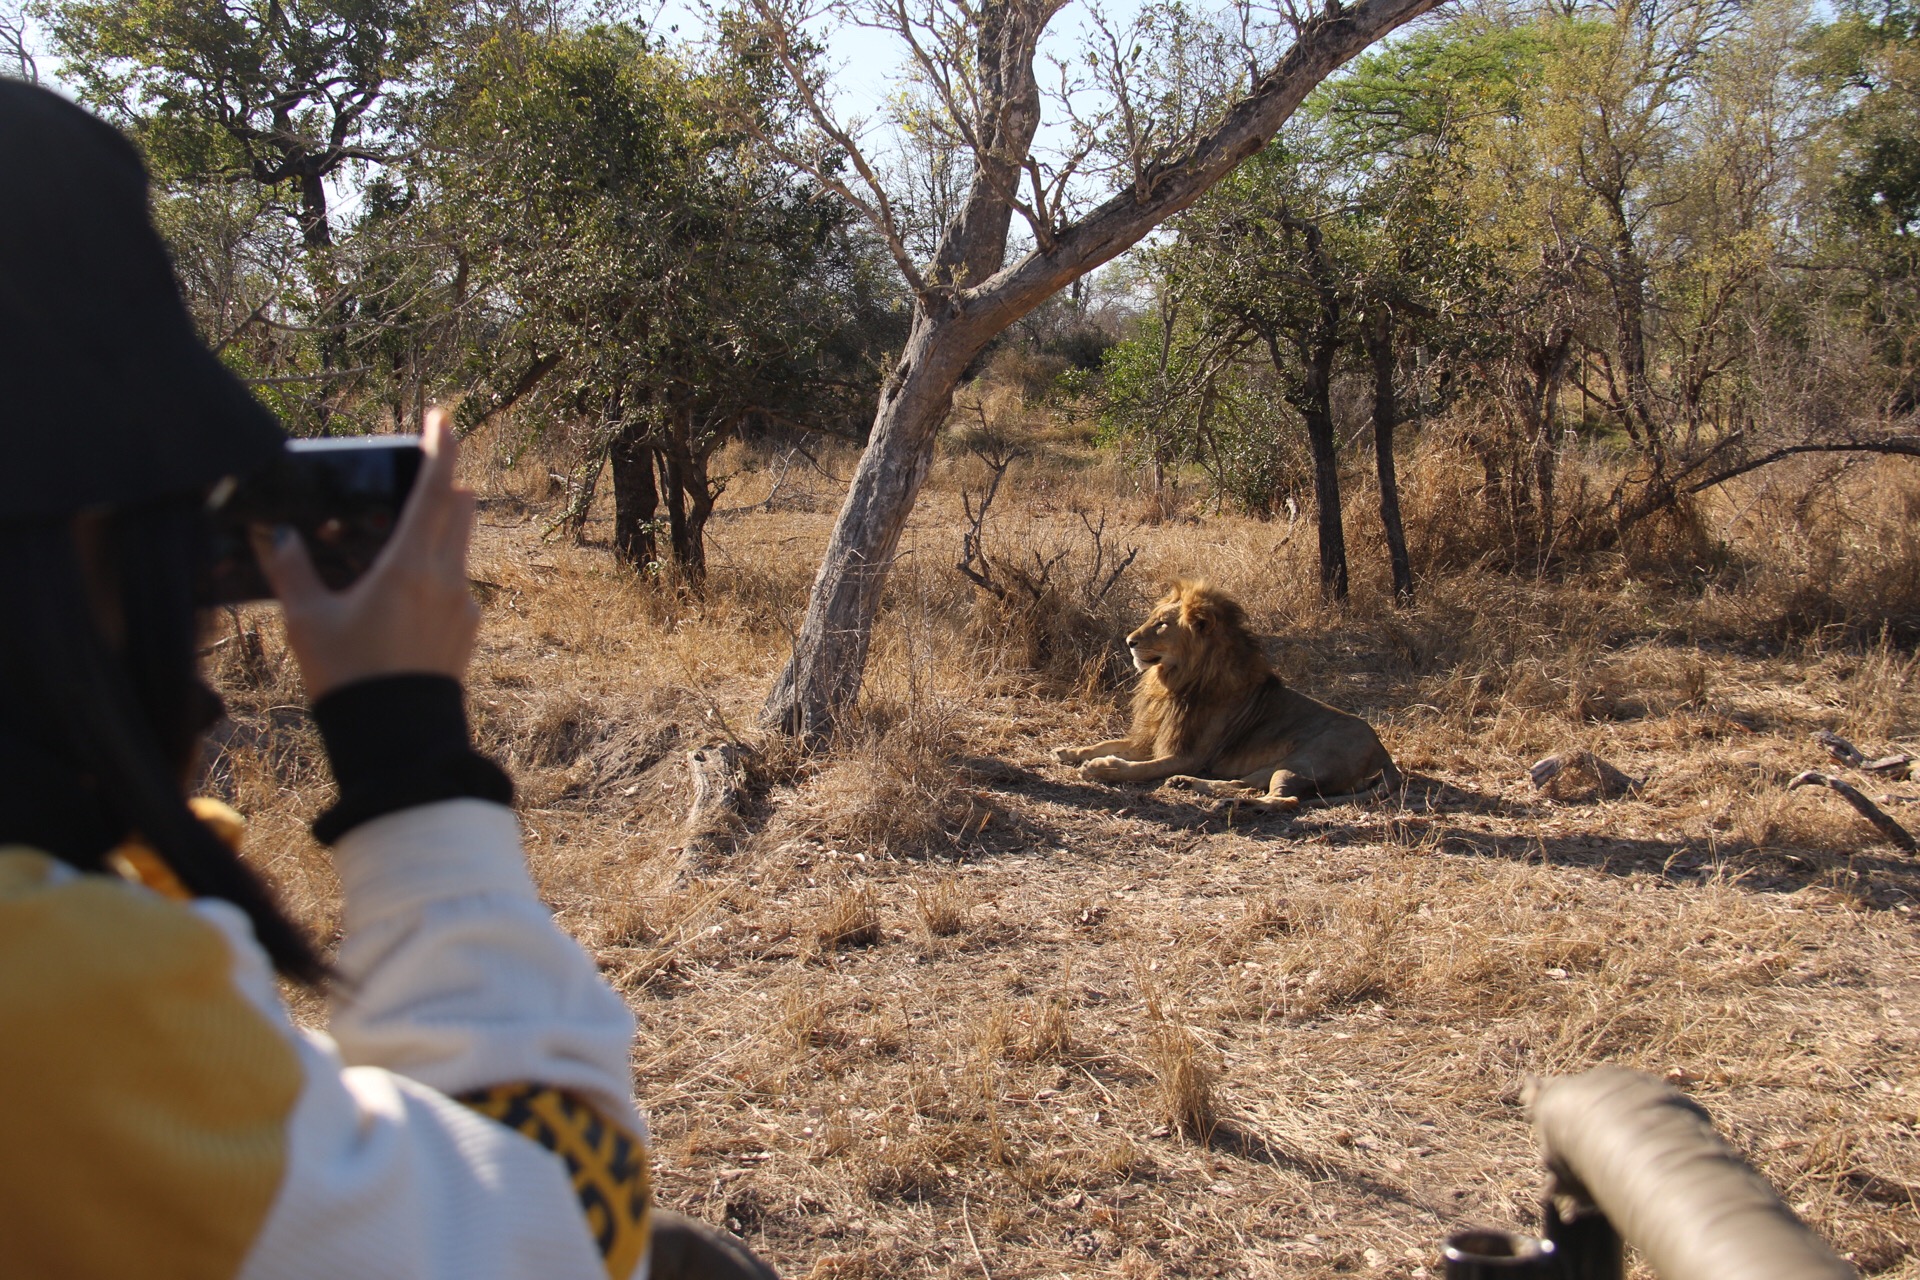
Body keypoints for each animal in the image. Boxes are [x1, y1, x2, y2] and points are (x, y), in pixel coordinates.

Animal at [1059, 579, 1405, 809]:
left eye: (1161, 625)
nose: (1129, 641)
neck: (1173, 680)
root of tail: (1385, 756)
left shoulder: (1188, 756)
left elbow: (1141, 769)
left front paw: (1102, 769)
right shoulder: (1153, 738)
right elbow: (1108, 743)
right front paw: (1070, 751)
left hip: (1304, 762)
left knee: (1285, 799)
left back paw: (1231, 805)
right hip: (1275, 765)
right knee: (1245, 785)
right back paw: (1190, 785)